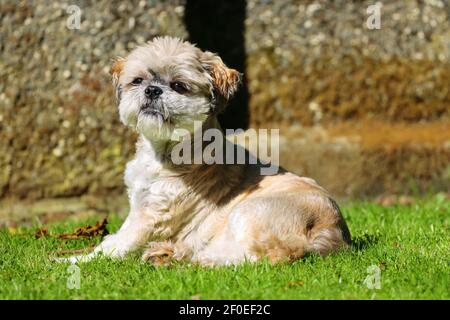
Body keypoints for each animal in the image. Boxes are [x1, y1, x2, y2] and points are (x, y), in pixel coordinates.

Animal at [64, 36, 352, 264]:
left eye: (178, 86)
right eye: (137, 81)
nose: (152, 90)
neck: (165, 151)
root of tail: (329, 231)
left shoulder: (149, 216)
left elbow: (114, 244)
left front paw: (74, 261)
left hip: (248, 212)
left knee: (252, 257)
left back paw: (185, 258)